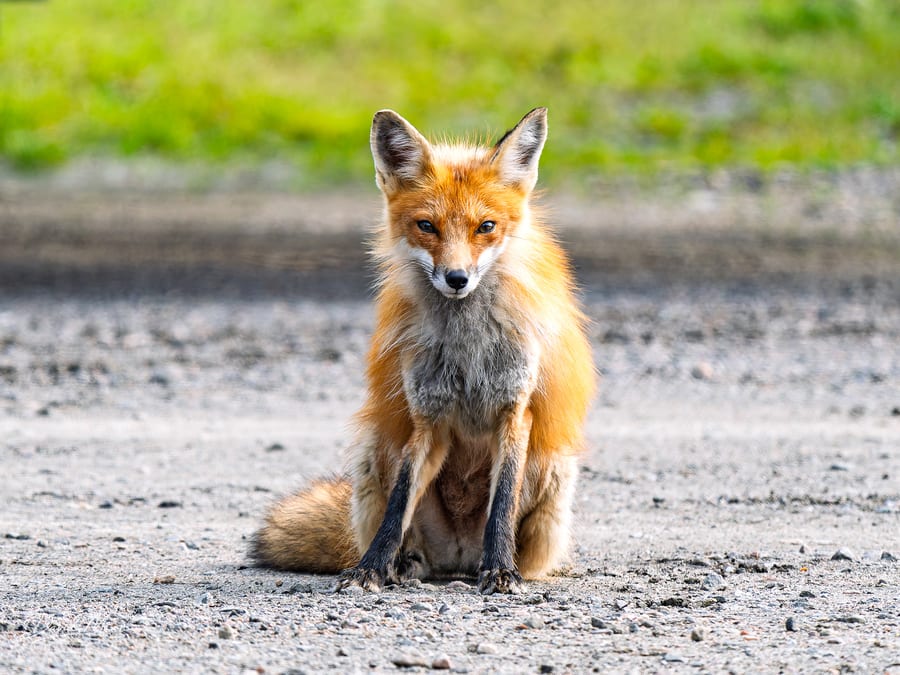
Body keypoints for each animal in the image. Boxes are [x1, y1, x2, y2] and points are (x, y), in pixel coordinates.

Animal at [252, 108, 595, 594]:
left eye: (486, 227)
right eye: (427, 226)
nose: (456, 278)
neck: (467, 345)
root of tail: (457, 560)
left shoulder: (515, 410)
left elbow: (502, 502)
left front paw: (500, 570)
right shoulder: (428, 419)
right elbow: (399, 504)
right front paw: (371, 568)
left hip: (553, 467)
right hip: (375, 447)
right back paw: (402, 564)